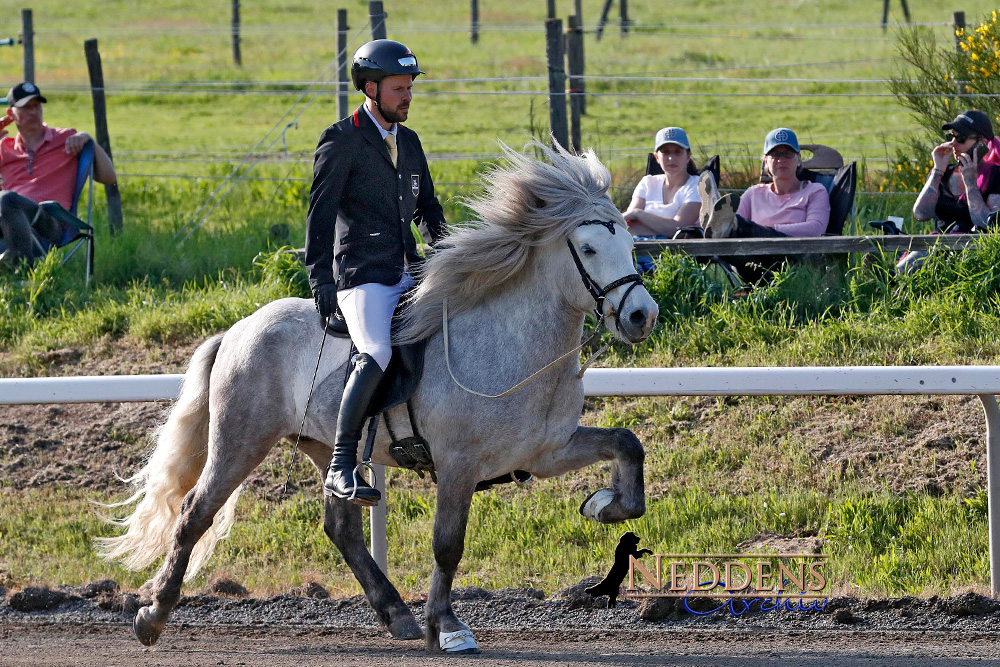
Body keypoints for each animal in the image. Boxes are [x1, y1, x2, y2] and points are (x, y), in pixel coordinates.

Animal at [97, 144, 660, 656]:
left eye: (631, 241)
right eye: (588, 249)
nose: (641, 316)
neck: (514, 344)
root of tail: (240, 328)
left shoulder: (546, 452)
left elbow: (628, 445)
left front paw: (604, 505)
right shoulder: (458, 465)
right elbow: (447, 544)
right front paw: (447, 626)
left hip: (325, 447)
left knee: (340, 525)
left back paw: (396, 614)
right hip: (241, 440)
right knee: (196, 512)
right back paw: (152, 617)